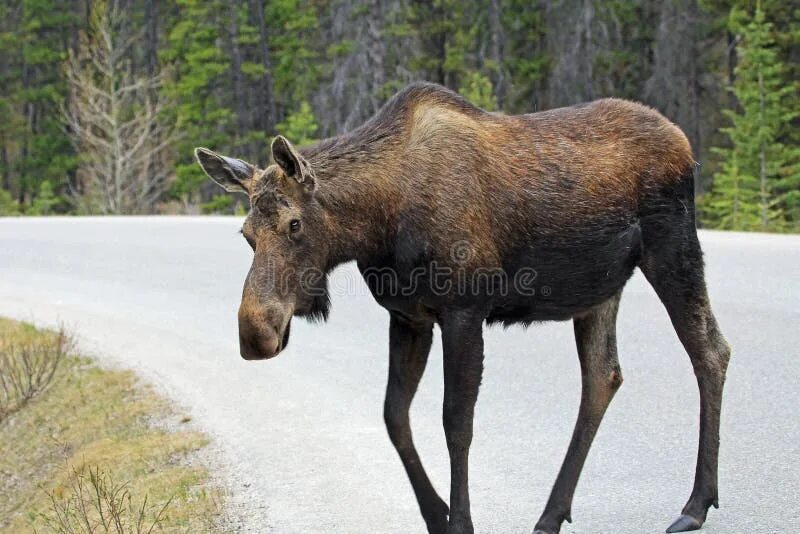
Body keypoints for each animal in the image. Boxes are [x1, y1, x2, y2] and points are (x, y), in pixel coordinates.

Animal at [195, 84, 732, 534]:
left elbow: (456, 422)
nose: (256, 333)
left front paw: (461, 521)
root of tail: (685, 144)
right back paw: (551, 514)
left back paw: (695, 504)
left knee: (710, 350)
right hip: (601, 288)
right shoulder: (408, 316)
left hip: (673, 247)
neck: (377, 226)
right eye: (246, 234)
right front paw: (437, 515)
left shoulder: (464, 310)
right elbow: (394, 415)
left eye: (294, 224)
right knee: (603, 376)